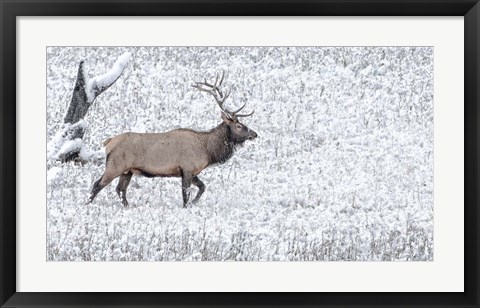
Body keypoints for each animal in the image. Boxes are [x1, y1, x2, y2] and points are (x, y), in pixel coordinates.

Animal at [87, 72, 256, 207]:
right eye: (239, 126)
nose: (254, 134)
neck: (208, 150)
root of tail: (108, 142)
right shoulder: (187, 168)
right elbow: (185, 194)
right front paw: (188, 206)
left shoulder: (192, 172)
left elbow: (202, 187)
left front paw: (194, 203)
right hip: (114, 166)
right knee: (97, 184)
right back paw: (87, 205)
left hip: (127, 171)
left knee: (120, 189)